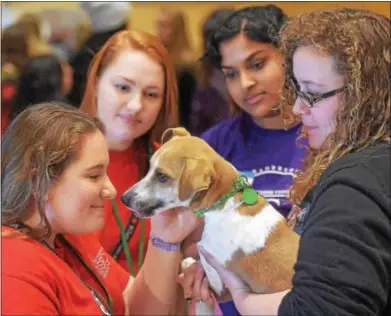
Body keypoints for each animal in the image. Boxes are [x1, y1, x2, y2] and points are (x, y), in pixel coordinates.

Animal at [122, 127, 300, 310]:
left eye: (162, 177)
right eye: (150, 167)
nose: (124, 198)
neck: (225, 200)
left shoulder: (214, 273)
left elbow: (201, 265)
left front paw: (188, 264)